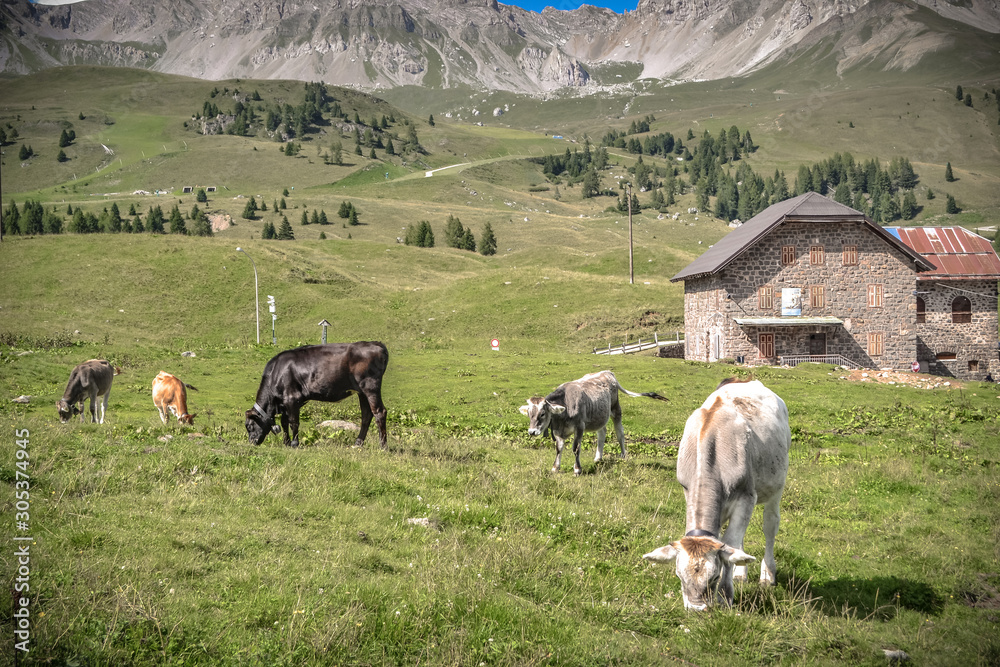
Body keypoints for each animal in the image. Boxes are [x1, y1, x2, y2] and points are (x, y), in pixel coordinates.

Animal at [245, 342, 389, 449]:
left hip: (370, 386)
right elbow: (284, 422)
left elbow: (294, 422)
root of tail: (375, 344)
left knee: (379, 412)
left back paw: (383, 446)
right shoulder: (285, 401)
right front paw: (286, 443)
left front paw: (295, 443)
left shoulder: (292, 398)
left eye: (250, 426)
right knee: (366, 414)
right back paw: (358, 443)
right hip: (361, 391)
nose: (252, 442)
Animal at [519, 370, 668, 475]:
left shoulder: (579, 426)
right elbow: (559, 448)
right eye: (529, 414)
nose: (531, 432)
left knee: (620, 433)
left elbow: (576, 448)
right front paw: (555, 467)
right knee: (602, 433)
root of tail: (607, 372)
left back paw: (623, 456)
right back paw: (598, 457)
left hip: (616, 409)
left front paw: (577, 469)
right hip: (600, 417)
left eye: (542, 414)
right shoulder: (558, 430)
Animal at [643, 378, 790, 611]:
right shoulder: (690, 492)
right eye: (679, 576)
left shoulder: (746, 497)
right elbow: (728, 542)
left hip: (776, 487)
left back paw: (768, 574)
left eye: (713, 577)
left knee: (770, 525)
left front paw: (724, 595)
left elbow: (730, 544)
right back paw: (741, 572)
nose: (696, 609)